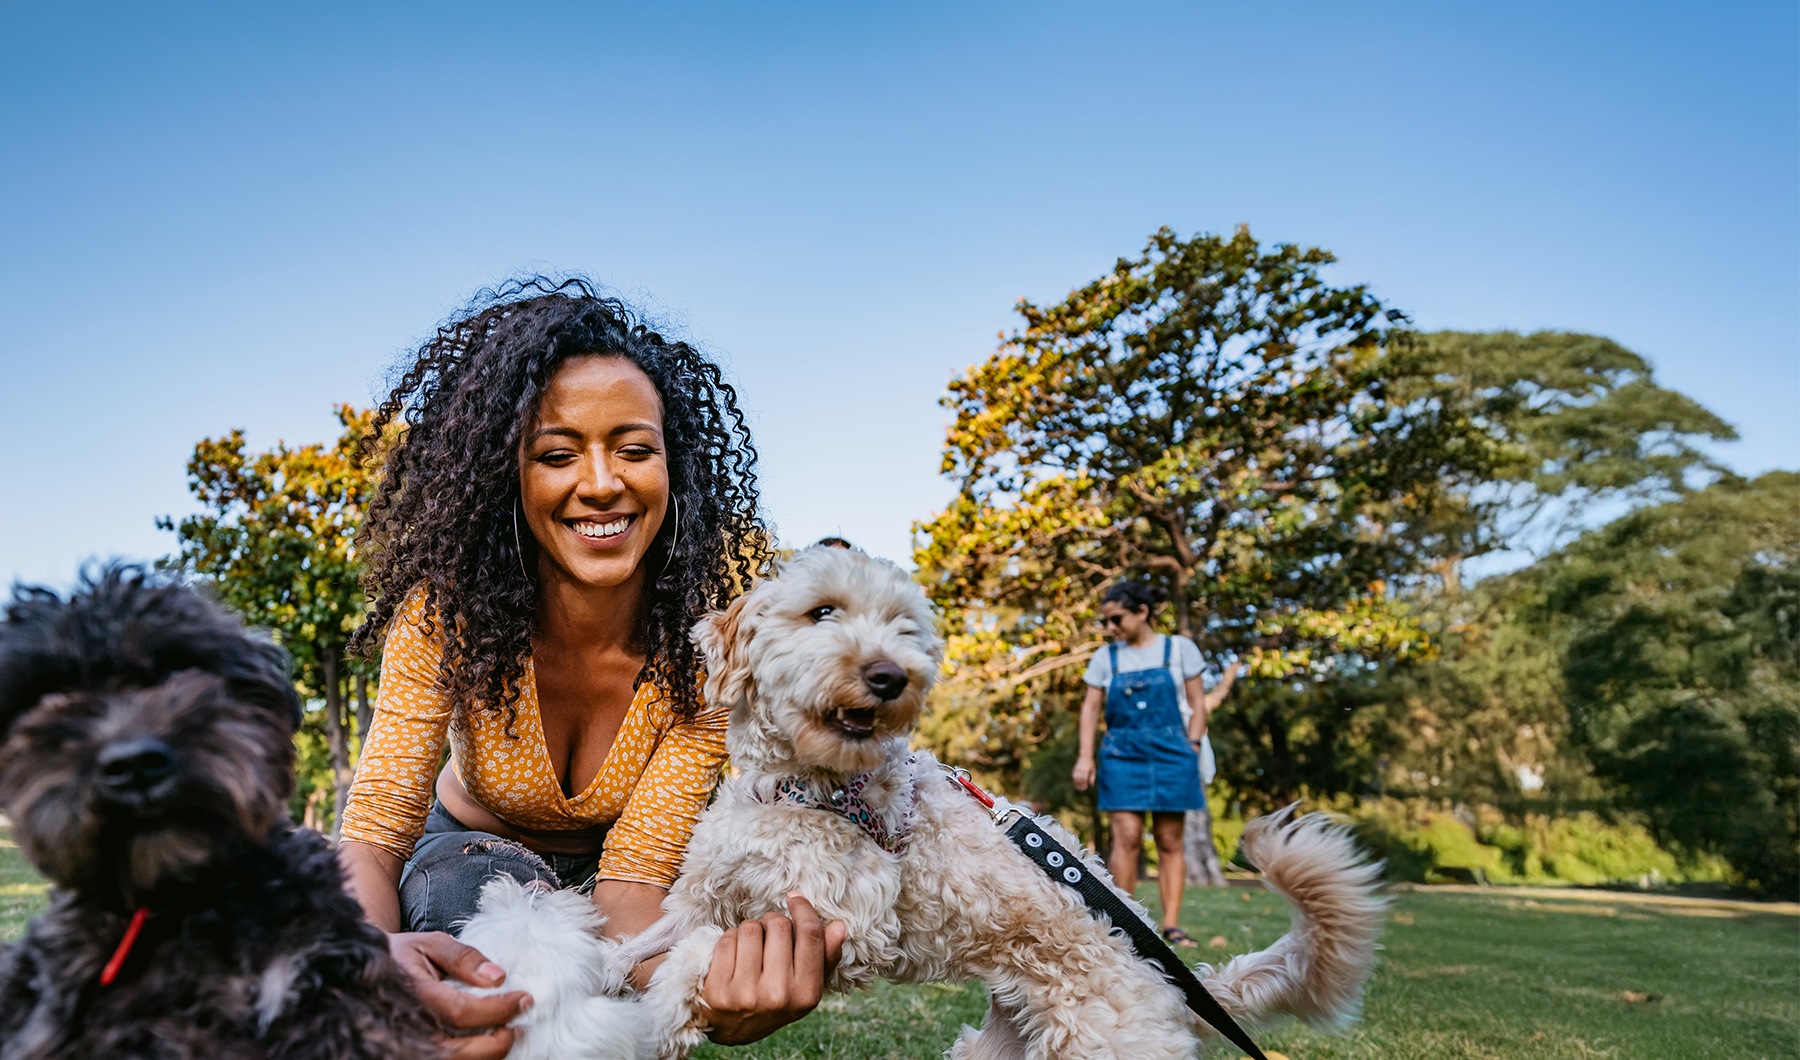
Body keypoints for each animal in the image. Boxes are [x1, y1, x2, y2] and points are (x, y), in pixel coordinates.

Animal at [597, 547, 1382, 1058]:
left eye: (906, 630)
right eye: (822, 612)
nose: (891, 676)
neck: (796, 791)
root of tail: (1174, 987)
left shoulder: (840, 927)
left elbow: (699, 954)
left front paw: (661, 1014)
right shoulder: (705, 895)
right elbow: (650, 939)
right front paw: (603, 969)